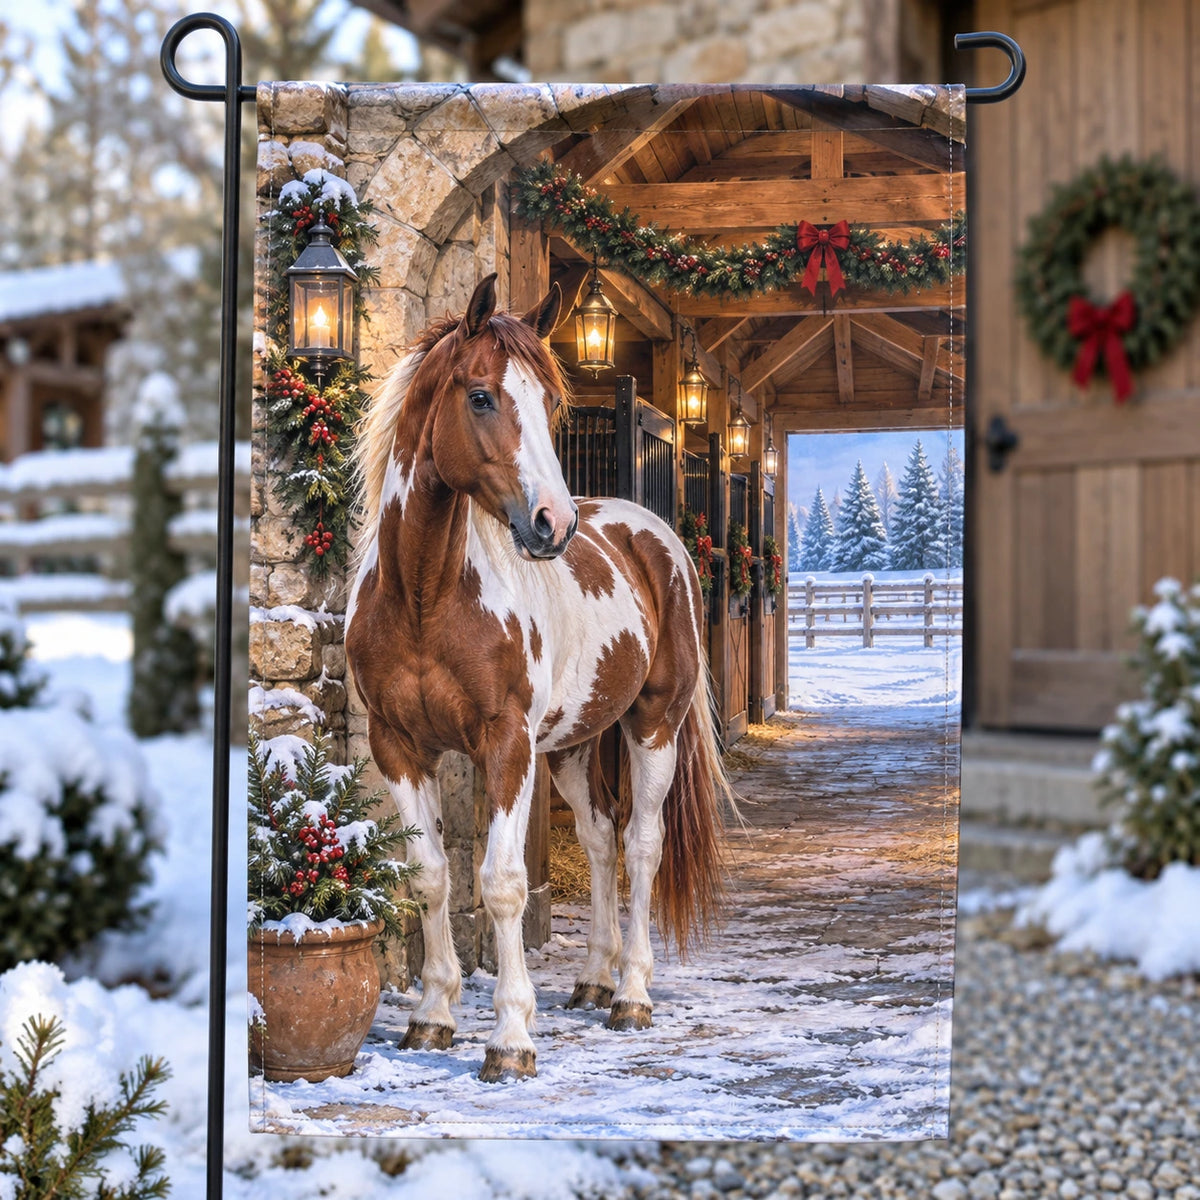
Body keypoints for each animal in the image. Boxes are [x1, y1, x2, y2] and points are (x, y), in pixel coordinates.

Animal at [345, 272, 730, 1082]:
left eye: (552, 402)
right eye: (480, 397)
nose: (553, 524)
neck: (424, 594)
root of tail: (656, 538)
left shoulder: (505, 745)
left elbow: (501, 883)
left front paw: (510, 1038)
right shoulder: (399, 746)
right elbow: (430, 876)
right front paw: (432, 1017)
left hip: (652, 726)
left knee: (641, 845)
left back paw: (631, 995)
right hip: (575, 747)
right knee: (600, 840)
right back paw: (591, 980)